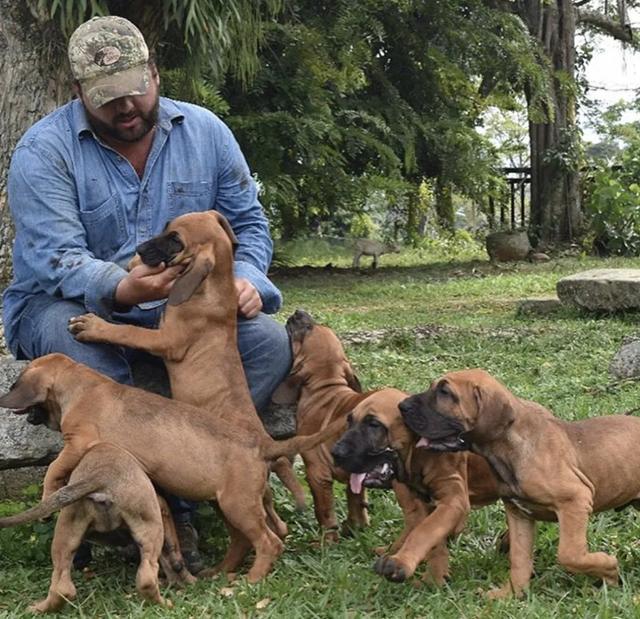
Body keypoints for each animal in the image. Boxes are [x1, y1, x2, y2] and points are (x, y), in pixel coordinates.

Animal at [0, 356, 344, 584]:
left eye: (16, 383)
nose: (3, 399)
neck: (79, 383)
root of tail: (261, 446)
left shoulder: (78, 442)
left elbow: (53, 468)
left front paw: (47, 497)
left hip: (239, 505)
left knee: (269, 543)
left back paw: (251, 580)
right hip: (227, 505)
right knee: (243, 541)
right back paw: (220, 572)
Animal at [0, 444, 194, 612]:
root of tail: (101, 475)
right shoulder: (162, 512)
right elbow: (171, 554)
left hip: (66, 530)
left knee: (61, 586)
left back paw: (38, 608)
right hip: (152, 528)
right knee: (148, 576)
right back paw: (165, 603)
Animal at [67, 212, 304, 520]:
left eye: (175, 240)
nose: (139, 249)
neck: (213, 287)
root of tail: (266, 441)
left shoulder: (165, 340)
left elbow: (128, 332)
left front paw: (94, 326)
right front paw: (133, 265)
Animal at [330, 390, 500, 588]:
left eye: (374, 425)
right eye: (349, 421)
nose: (335, 453)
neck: (418, 454)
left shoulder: (453, 500)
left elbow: (424, 531)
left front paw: (406, 566)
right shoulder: (421, 502)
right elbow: (430, 535)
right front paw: (435, 577)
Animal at [400, 370, 640, 600]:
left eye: (445, 392)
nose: (402, 406)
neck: (507, 449)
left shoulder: (575, 499)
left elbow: (570, 554)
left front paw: (609, 569)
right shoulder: (518, 513)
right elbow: (519, 559)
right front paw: (510, 594)